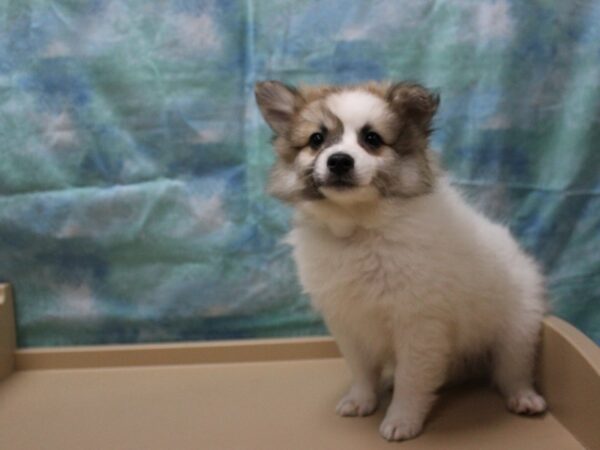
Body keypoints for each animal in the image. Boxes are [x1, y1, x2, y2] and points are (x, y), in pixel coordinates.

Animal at [253, 80, 548, 440]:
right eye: (317, 139)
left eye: (372, 139)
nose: (339, 161)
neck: (360, 227)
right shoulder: (348, 323)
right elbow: (362, 369)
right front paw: (361, 400)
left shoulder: (419, 324)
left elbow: (413, 379)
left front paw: (402, 420)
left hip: (519, 326)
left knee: (512, 369)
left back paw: (524, 397)